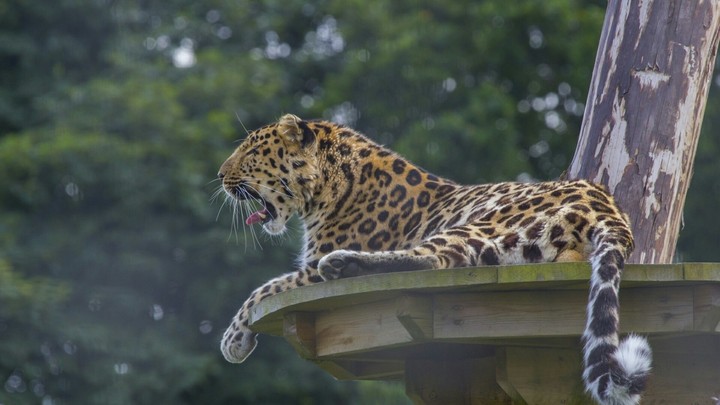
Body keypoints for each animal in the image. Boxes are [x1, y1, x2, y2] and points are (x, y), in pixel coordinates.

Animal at [217, 114, 652, 405]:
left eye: (251, 151)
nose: (220, 175)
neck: (330, 186)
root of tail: (608, 207)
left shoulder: (306, 269)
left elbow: (267, 288)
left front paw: (233, 340)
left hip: (482, 222)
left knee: (435, 259)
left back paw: (343, 265)